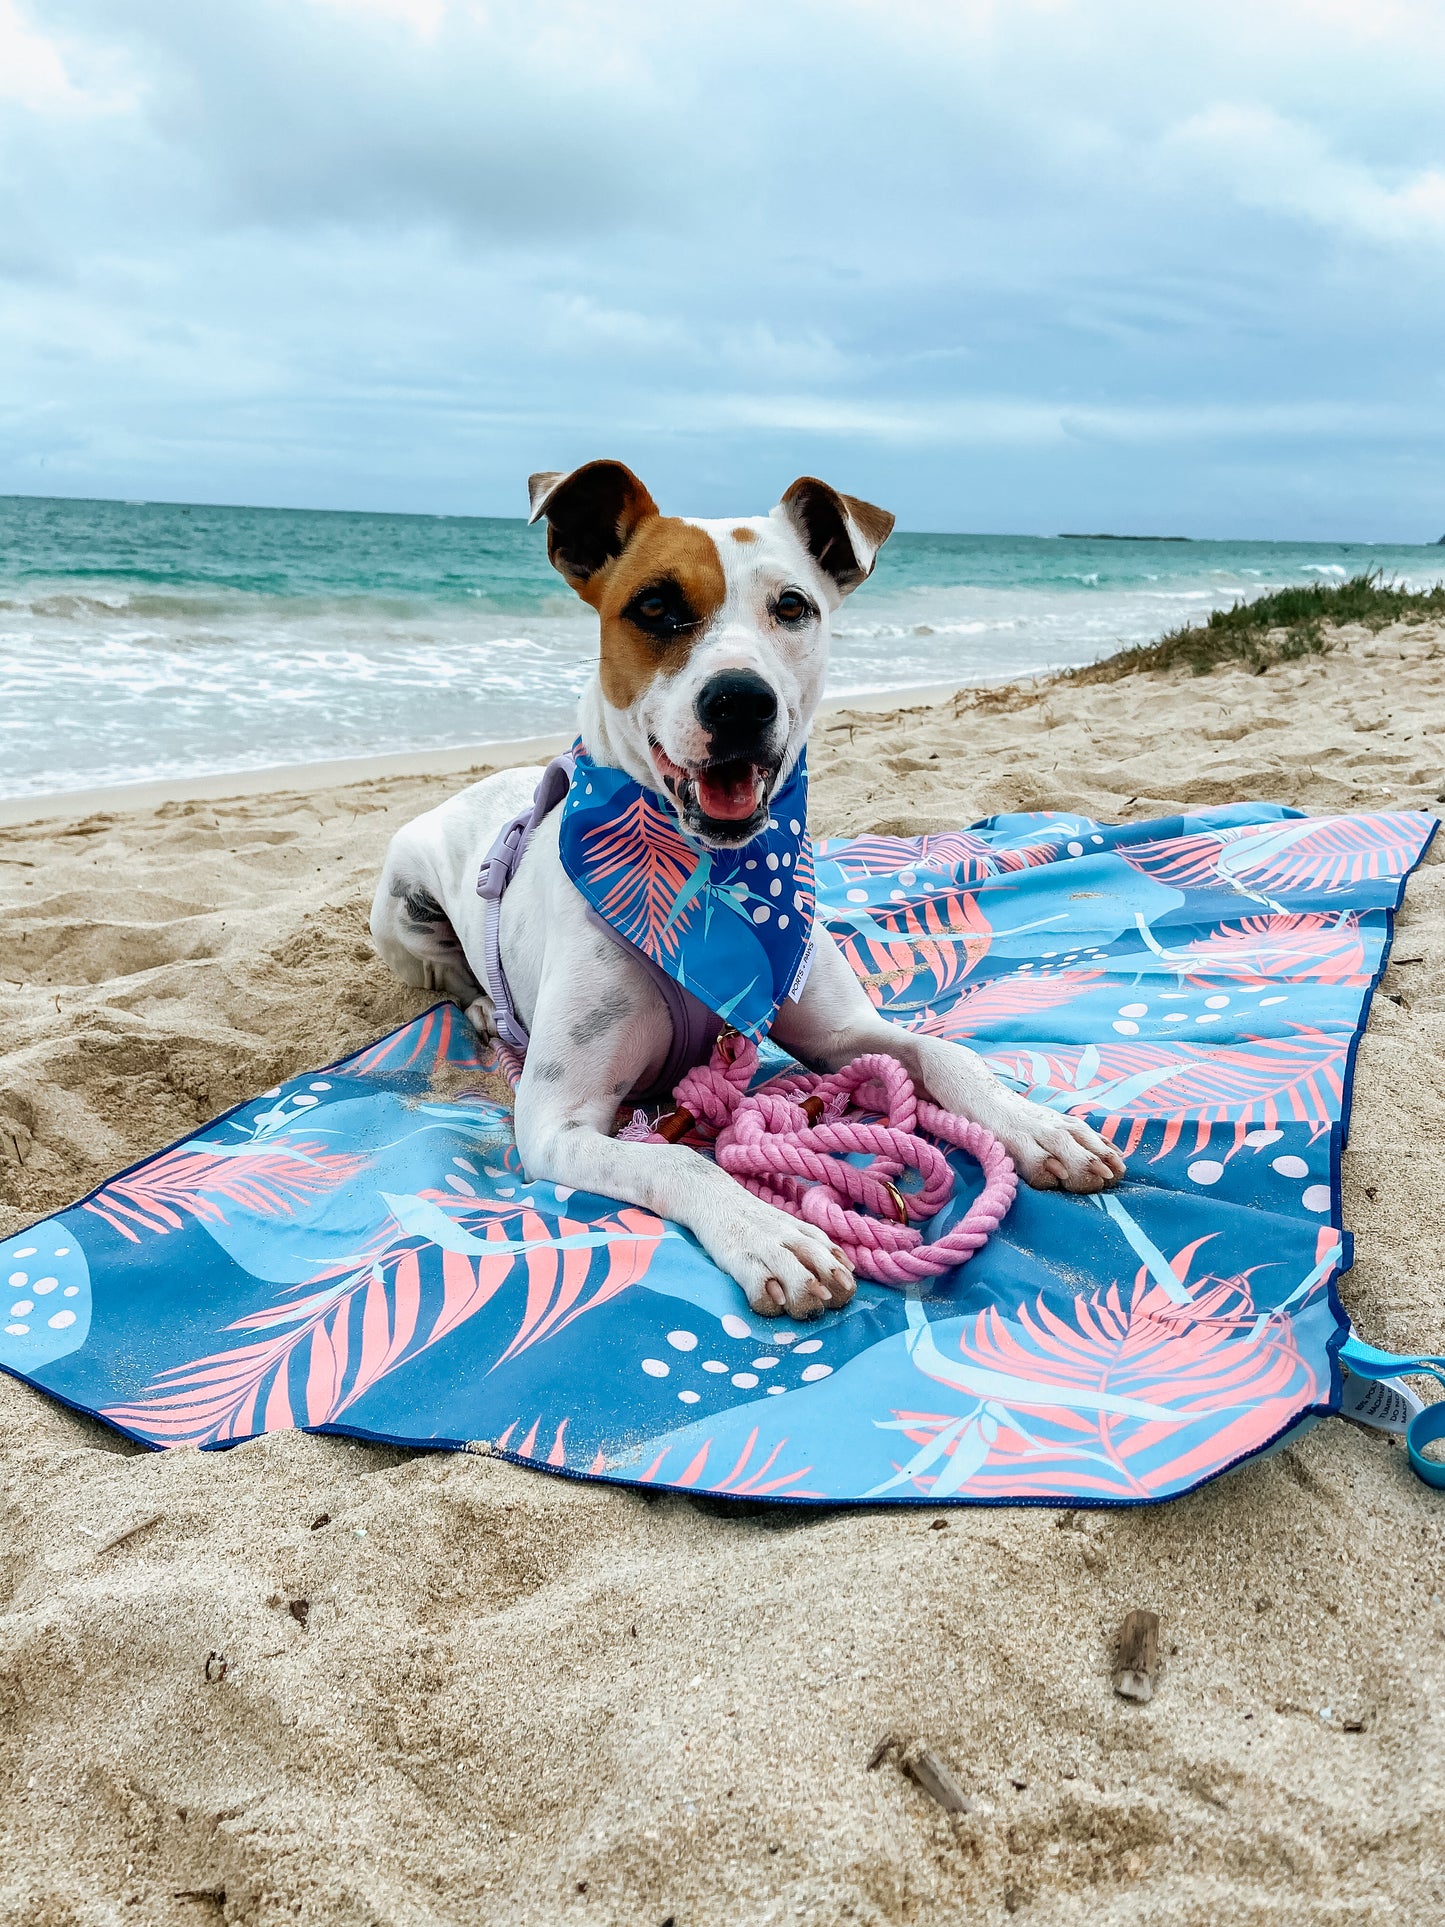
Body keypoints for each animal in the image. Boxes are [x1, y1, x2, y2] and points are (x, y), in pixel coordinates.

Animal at [367, 458, 1125, 1318]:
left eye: (791, 606)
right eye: (654, 606)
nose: (739, 699)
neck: (712, 884)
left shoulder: (841, 1032)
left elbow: (942, 1053)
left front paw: (1037, 1125)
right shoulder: (556, 1121)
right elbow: (679, 1159)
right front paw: (768, 1231)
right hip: (401, 908)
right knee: (451, 974)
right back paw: (481, 1010)